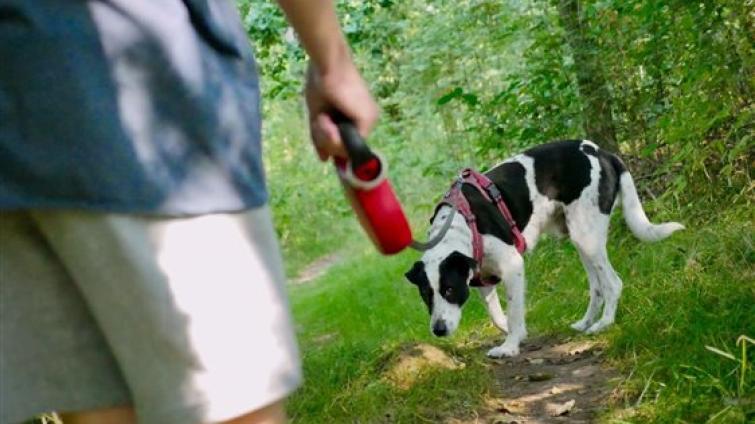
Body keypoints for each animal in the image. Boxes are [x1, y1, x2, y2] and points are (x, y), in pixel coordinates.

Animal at [408, 140, 684, 358]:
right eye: (425, 294)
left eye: (449, 289)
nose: (438, 330)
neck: (462, 223)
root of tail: (603, 153)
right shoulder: (482, 277)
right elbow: (498, 316)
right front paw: (514, 333)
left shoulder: (513, 266)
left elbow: (514, 311)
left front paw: (510, 347)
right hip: (580, 238)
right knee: (597, 287)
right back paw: (585, 323)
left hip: (587, 236)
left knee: (613, 283)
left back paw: (603, 324)